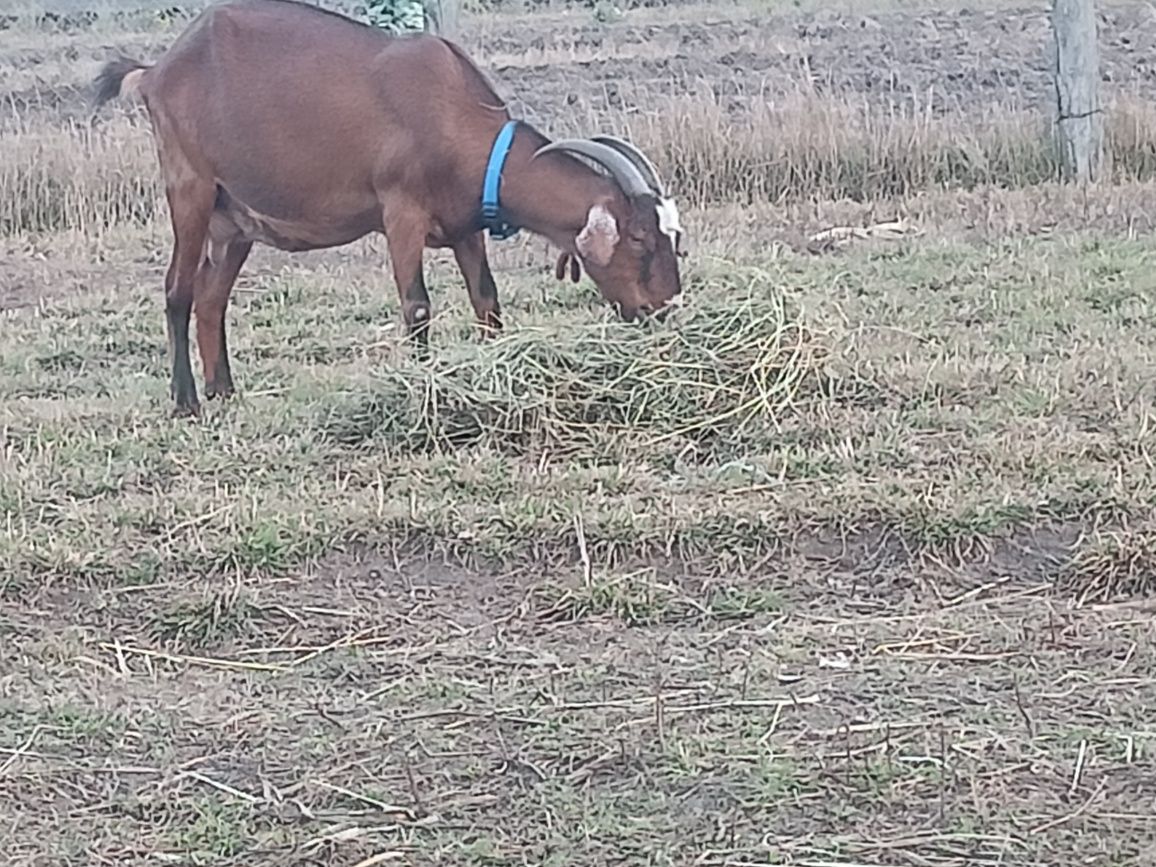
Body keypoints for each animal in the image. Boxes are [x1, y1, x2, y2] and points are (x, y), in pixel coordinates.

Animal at [94, 0, 684, 418]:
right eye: (637, 236)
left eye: (671, 236)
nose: (665, 308)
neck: (453, 114)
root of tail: (156, 70)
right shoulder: (401, 213)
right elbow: (417, 306)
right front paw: (424, 386)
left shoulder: (466, 224)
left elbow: (487, 301)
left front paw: (493, 366)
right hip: (189, 187)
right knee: (178, 291)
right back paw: (187, 401)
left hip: (235, 219)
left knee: (212, 298)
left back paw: (224, 390)